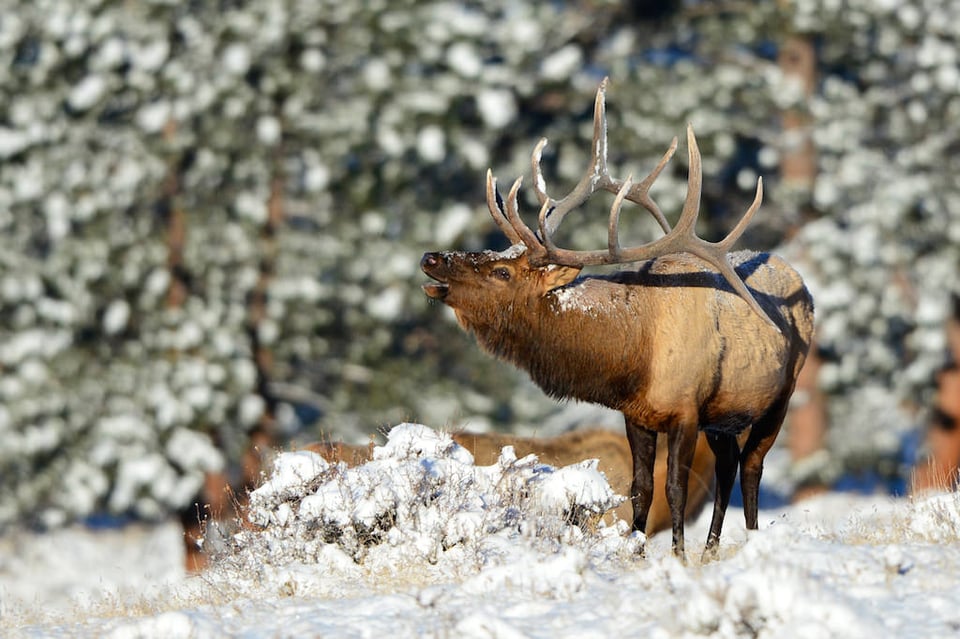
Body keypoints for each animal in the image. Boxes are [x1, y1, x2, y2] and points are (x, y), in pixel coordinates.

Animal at [420, 80, 808, 560]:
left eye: (502, 272)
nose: (431, 256)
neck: (634, 357)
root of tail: (801, 281)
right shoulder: (638, 414)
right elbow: (640, 489)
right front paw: (639, 554)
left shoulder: (686, 409)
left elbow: (674, 488)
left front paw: (677, 558)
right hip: (724, 415)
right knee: (728, 467)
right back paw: (711, 550)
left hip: (780, 396)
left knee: (752, 466)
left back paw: (749, 542)